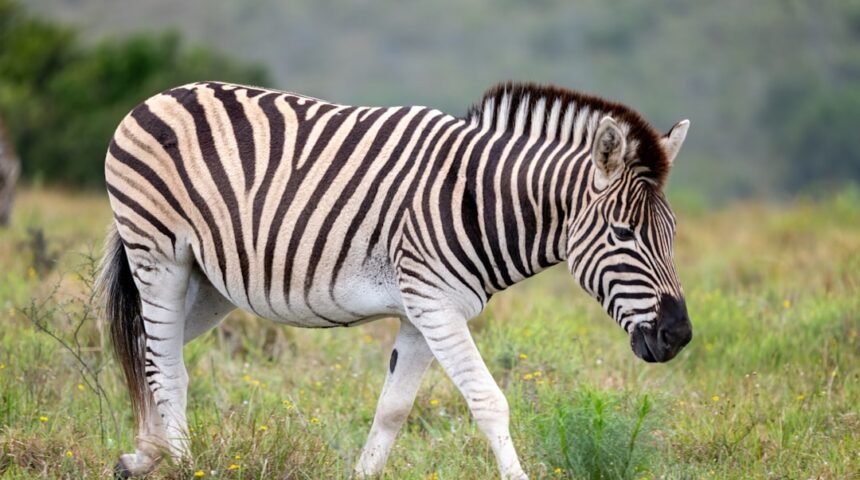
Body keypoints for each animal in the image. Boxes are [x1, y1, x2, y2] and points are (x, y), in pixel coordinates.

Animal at [98, 81, 692, 479]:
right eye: (622, 234)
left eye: (672, 233)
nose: (679, 336)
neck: (477, 202)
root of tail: (163, 95)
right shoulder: (435, 304)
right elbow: (489, 401)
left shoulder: (420, 313)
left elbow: (393, 410)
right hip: (160, 256)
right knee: (164, 365)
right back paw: (181, 462)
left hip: (210, 284)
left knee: (152, 349)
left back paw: (144, 456)